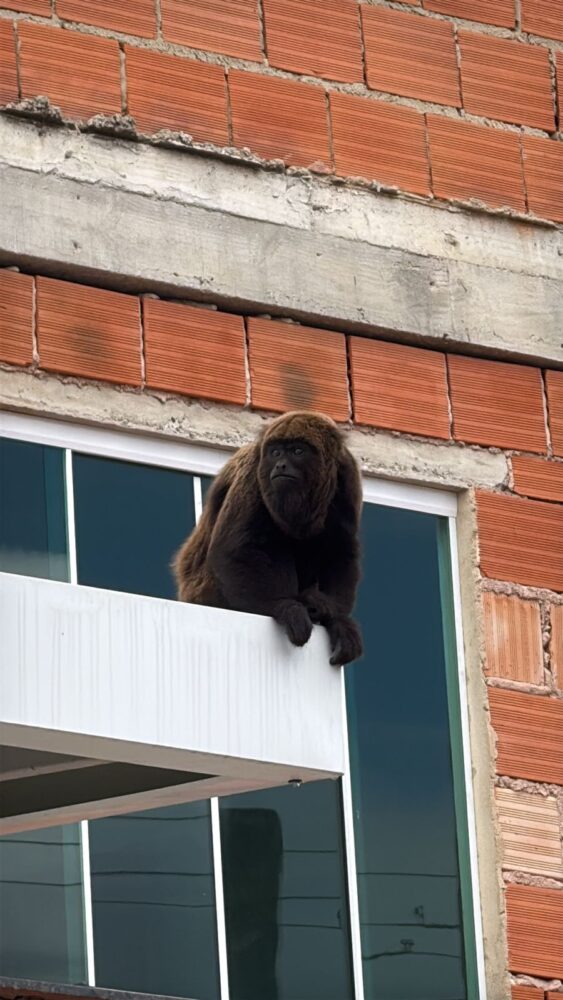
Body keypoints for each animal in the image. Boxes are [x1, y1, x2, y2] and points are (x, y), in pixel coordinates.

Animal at [173, 411, 363, 666]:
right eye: (275, 452)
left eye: (297, 451)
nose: (280, 465)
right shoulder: (254, 472)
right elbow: (233, 550)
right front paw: (283, 607)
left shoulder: (346, 474)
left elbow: (340, 550)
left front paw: (336, 619)